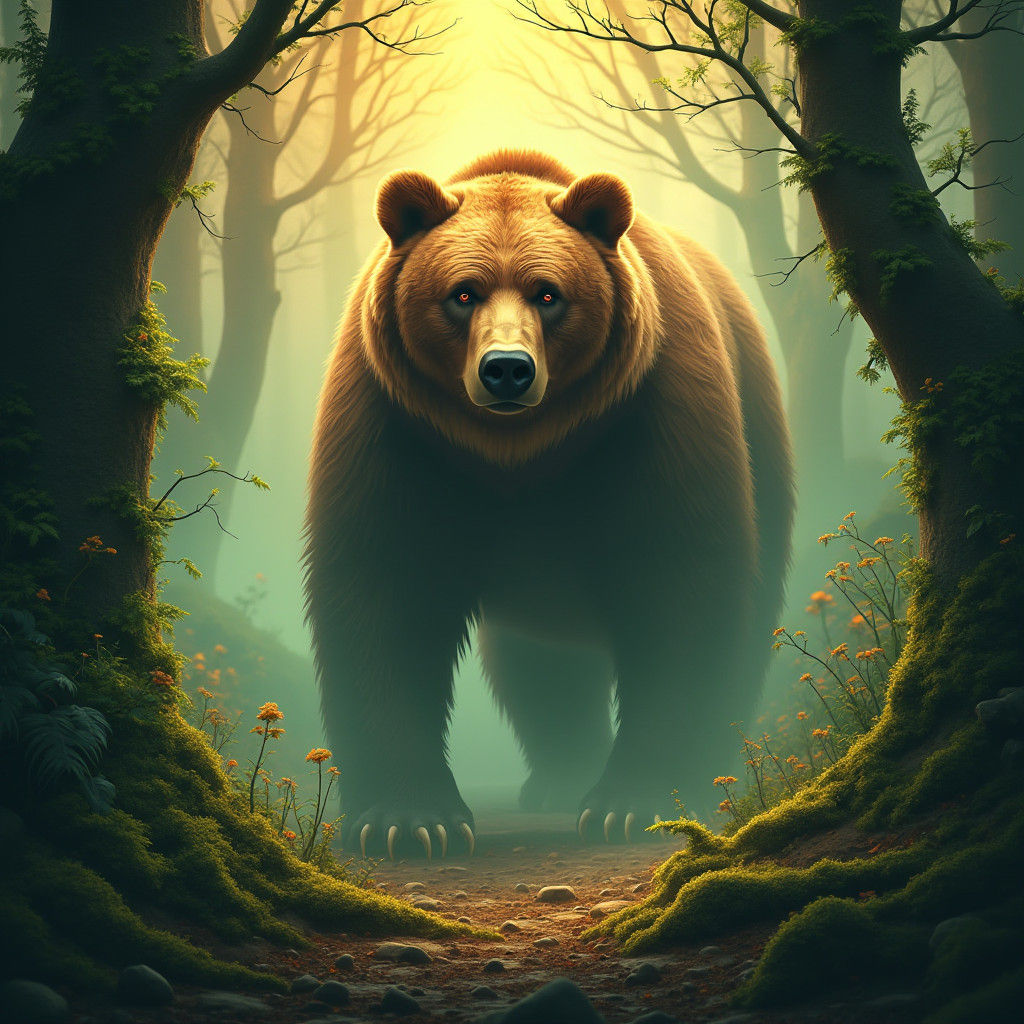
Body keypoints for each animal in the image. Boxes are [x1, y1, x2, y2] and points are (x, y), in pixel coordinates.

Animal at [304, 149, 793, 858]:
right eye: (462, 292)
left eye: (548, 293)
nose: (507, 368)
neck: (520, 449)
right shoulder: (392, 422)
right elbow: (384, 589)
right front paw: (410, 820)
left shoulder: (656, 407)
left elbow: (681, 582)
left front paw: (636, 802)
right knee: (539, 666)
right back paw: (560, 777)